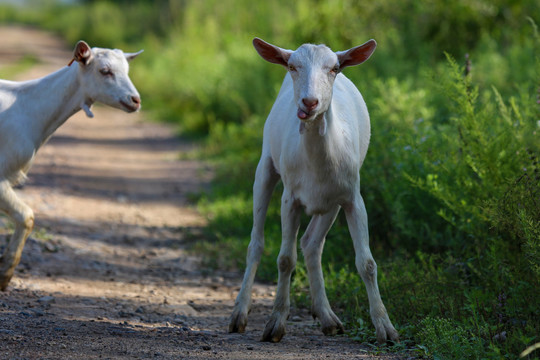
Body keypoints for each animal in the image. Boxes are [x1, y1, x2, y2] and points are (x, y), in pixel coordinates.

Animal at [0, 40, 142, 292]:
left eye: (127, 70)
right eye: (104, 71)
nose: (136, 100)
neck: (29, 107)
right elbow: (27, 216)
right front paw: (4, 276)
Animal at [228, 38, 400, 344]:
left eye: (333, 68)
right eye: (293, 67)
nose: (309, 102)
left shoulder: (352, 197)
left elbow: (366, 263)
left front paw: (386, 327)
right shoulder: (290, 199)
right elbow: (285, 259)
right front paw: (275, 324)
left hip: (330, 203)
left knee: (311, 244)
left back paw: (328, 318)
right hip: (265, 165)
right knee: (255, 244)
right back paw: (239, 314)